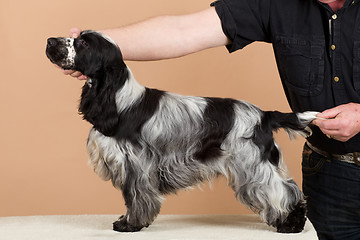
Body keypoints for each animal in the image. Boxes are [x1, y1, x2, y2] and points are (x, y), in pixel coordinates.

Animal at [45, 31, 318, 233]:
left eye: (82, 43)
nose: (49, 40)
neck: (119, 100)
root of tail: (263, 115)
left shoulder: (134, 164)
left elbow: (135, 197)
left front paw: (129, 224)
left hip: (251, 164)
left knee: (284, 191)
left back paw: (291, 224)